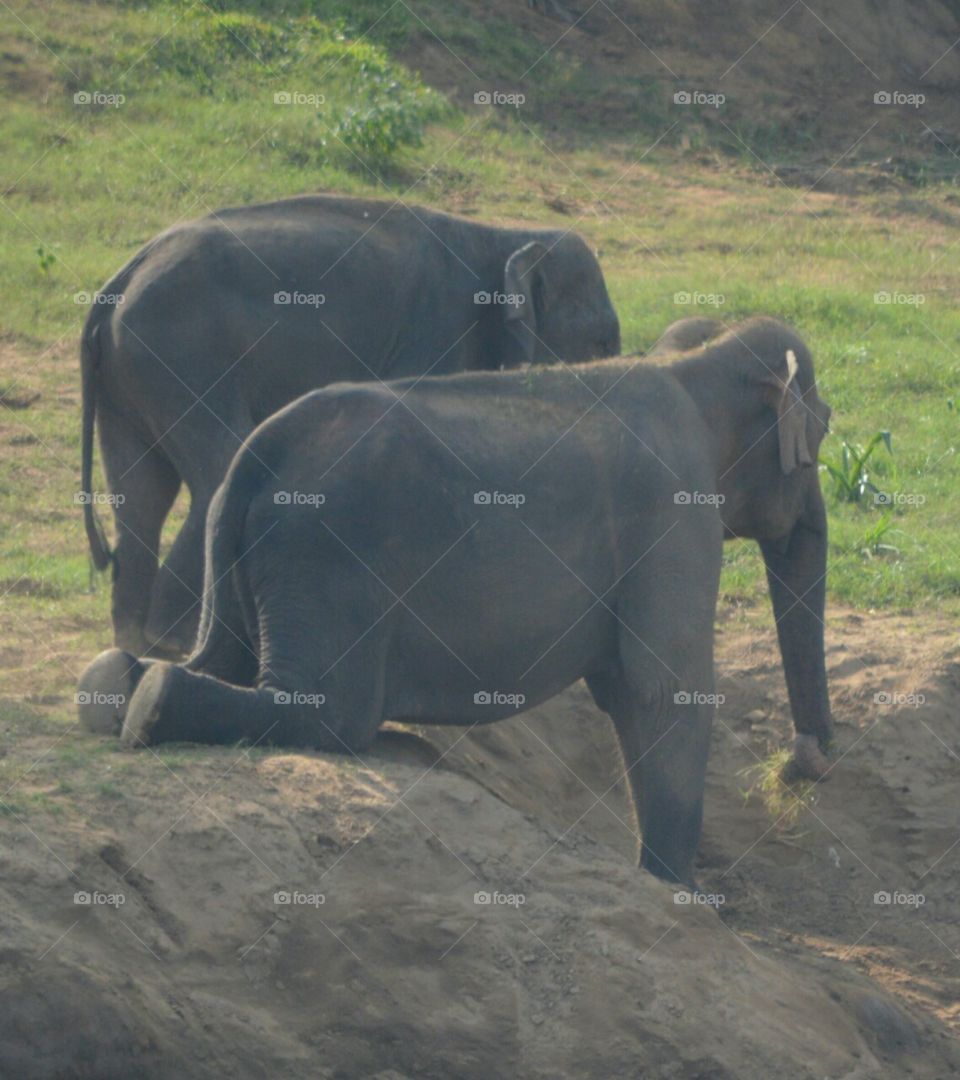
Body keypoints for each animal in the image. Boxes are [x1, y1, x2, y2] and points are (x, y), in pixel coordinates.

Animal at [78, 316, 832, 887]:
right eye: (822, 435)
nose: (800, 767)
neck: (692, 363)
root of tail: (256, 454)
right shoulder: (674, 515)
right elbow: (663, 689)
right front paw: (677, 892)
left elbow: (633, 688)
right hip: (325, 560)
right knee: (327, 712)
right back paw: (153, 703)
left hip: (247, 560)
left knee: (205, 662)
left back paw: (119, 690)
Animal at [80, 194, 620, 658]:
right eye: (601, 343)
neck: (504, 235)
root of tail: (115, 286)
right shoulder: (437, 330)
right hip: (180, 355)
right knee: (216, 467)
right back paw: (173, 641)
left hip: (131, 374)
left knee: (141, 493)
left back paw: (137, 640)